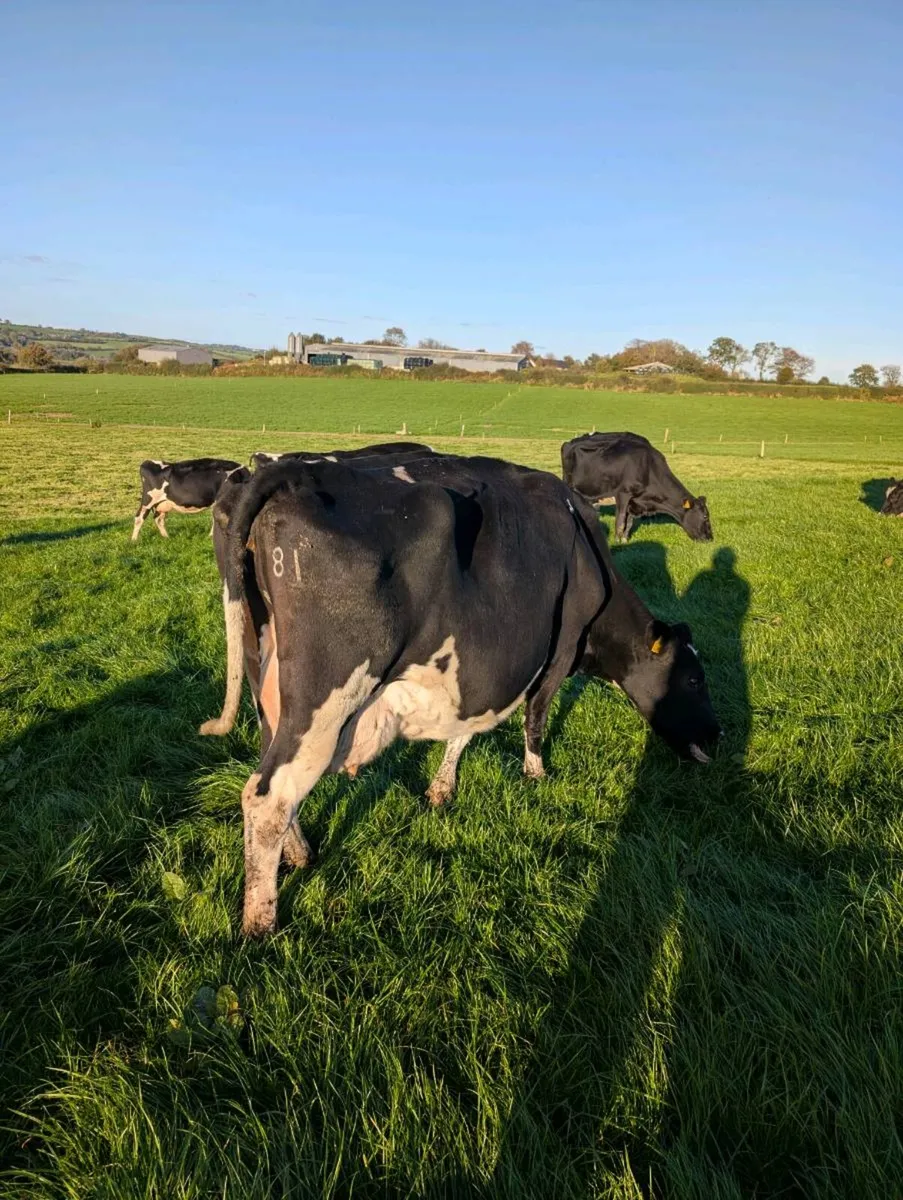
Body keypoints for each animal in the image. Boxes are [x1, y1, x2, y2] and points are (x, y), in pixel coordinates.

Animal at [201, 453, 720, 936]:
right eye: (694, 679)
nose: (716, 738)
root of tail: (288, 471)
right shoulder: (559, 648)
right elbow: (535, 716)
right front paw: (536, 773)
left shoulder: (479, 676)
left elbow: (465, 728)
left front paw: (441, 788)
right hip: (325, 698)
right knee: (269, 799)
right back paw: (260, 922)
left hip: (267, 683)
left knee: (268, 773)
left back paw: (301, 854)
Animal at [561, 432, 713, 543]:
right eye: (705, 516)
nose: (710, 538)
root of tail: (570, 442)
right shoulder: (623, 494)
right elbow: (621, 520)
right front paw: (617, 541)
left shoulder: (634, 502)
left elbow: (629, 523)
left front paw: (624, 540)